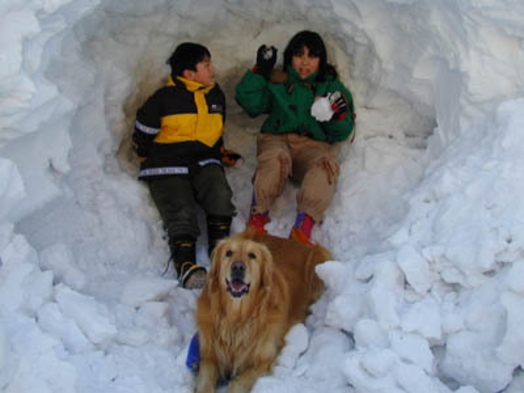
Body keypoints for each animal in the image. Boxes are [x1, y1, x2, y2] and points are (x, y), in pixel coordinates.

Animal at [194, 231, 334, 390]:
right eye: (228, 253)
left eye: (252, 255)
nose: (237, 267)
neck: (236, 318)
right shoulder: (209, 356)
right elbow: (205, 381)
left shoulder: (263, 361)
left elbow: (238, 383)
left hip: (319, 260)